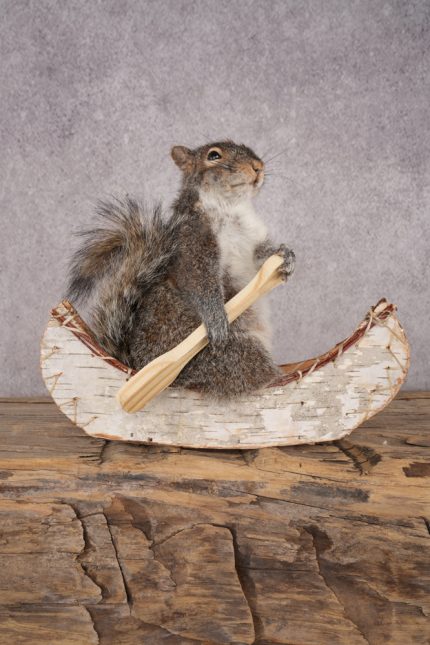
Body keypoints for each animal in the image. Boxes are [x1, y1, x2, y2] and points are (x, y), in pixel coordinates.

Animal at [67, 140, 295, 399]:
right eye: (214, 156)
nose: (258, 167)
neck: (230, 207)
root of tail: (135, 365)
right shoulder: (192, 246)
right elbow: (201, 284)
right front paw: (216, 318)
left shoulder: (252, 241)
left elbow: (261, 258)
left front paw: (285, 256)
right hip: (229, 358)